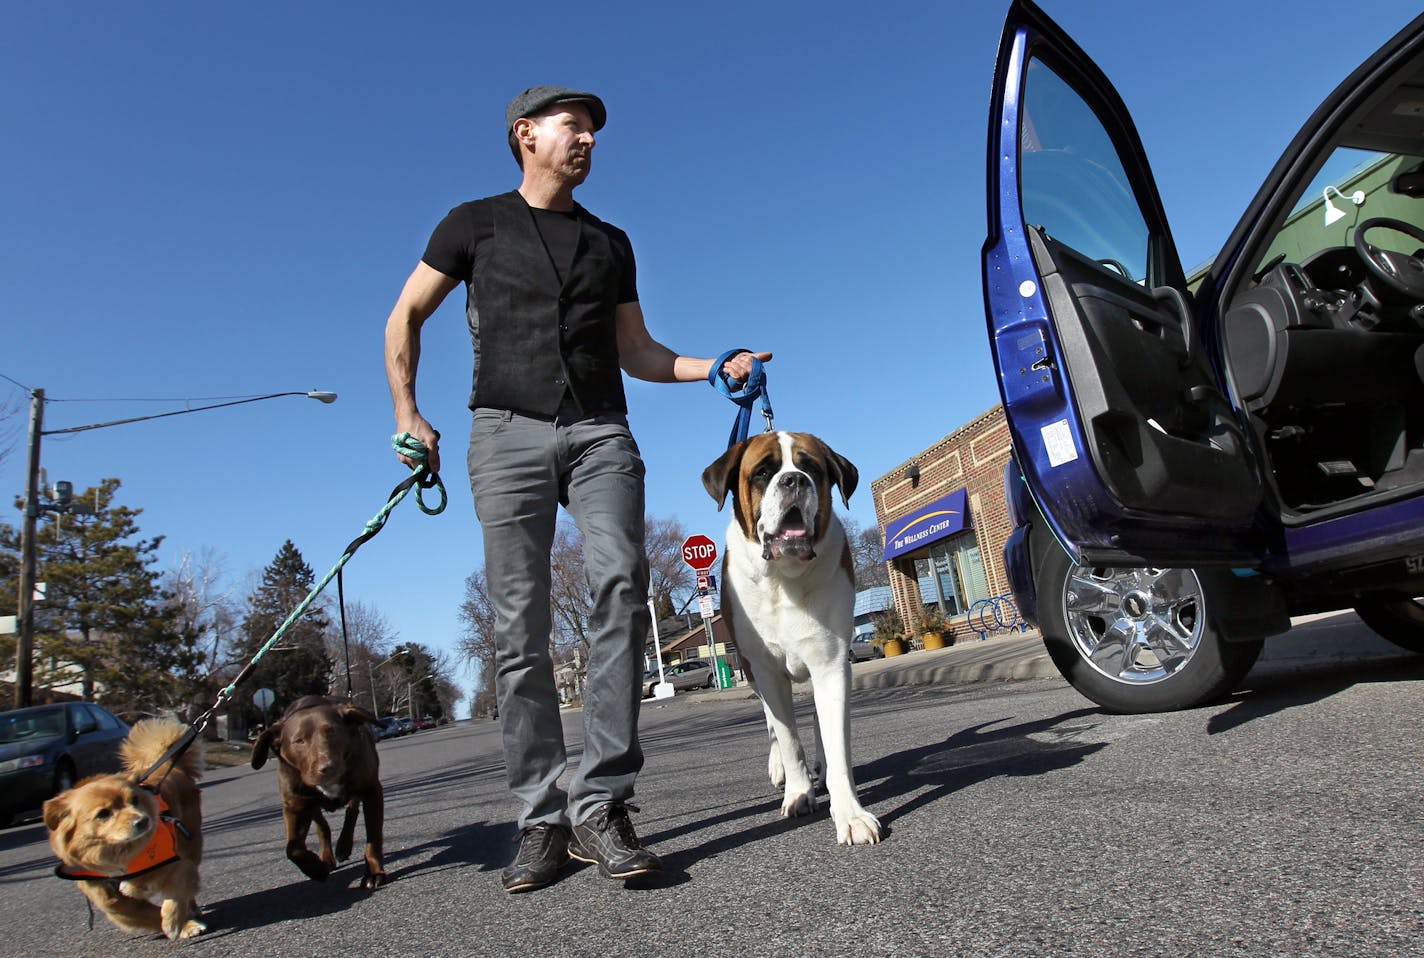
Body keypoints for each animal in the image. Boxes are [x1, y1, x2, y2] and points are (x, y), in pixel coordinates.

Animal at [43, 717, 206, 933]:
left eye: (135, 800)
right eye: (103, 814)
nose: (142, 820)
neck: (120, 856)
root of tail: (169, 767)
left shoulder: (179, 864)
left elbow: (176, 893)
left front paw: (175, 923)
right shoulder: (111, 901)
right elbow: (145, 912)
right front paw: (182, 924)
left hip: (190, 843)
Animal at [250, 694, 384, 888]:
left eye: (332, 731)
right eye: (298, 741)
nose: (326, 767)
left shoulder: (371, 790)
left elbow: (373, 837)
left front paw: (374, 873)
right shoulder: (295, 806)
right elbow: (293, 849)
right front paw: (317, 869)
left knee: (352, 810)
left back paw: (344, 846)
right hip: (310, 805)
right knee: (322, 825)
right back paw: (326, 857)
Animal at [700, 432, 877, 842]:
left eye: (810, 466)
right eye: (763, 472)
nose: (794, 480)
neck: (785, 578)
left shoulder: (831, 665)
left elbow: (835, 741)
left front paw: (850, 814)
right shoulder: (766, 672)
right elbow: (786, 735)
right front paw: (798, 794)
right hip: (752, 671)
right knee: (772, 724)